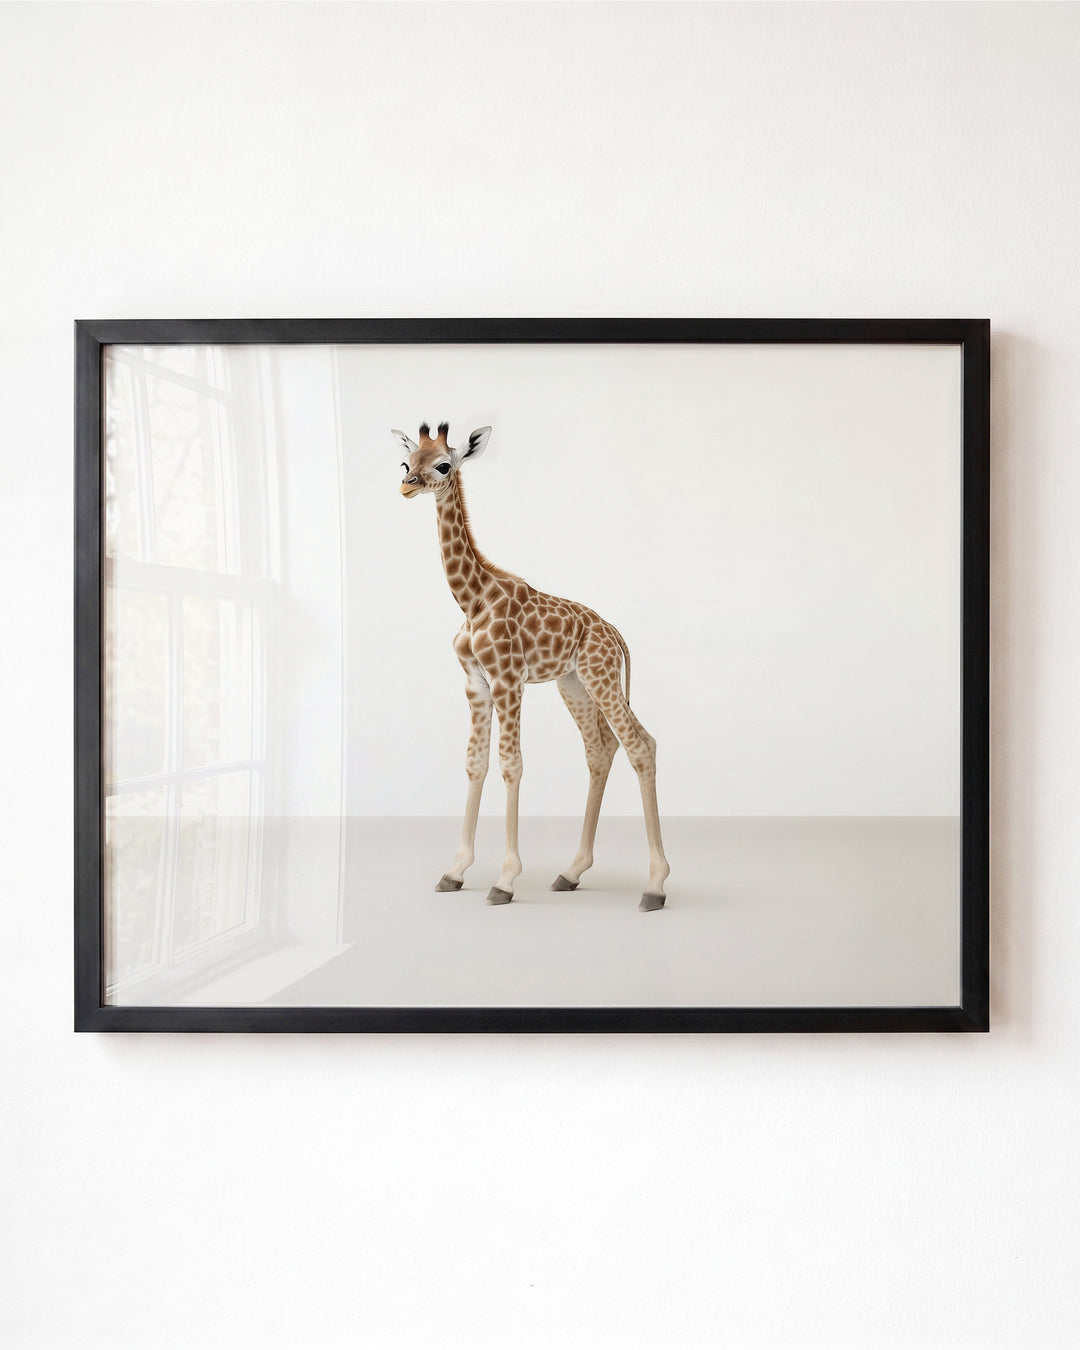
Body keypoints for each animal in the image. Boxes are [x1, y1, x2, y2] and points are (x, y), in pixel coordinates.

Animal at [394, 421, 669, 911]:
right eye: (406, 462)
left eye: (443, 464)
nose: (406, 485)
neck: (472, 600)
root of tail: (616, 634)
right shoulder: (476, 684)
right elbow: (475, 763)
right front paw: (454, 872)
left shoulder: (508, 681)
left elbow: (511, 764)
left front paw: (505, 880)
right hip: (575, 684)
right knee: (603, 750)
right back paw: (571, 872)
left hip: (600, 677)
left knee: (639, 746)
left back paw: (654, 887)